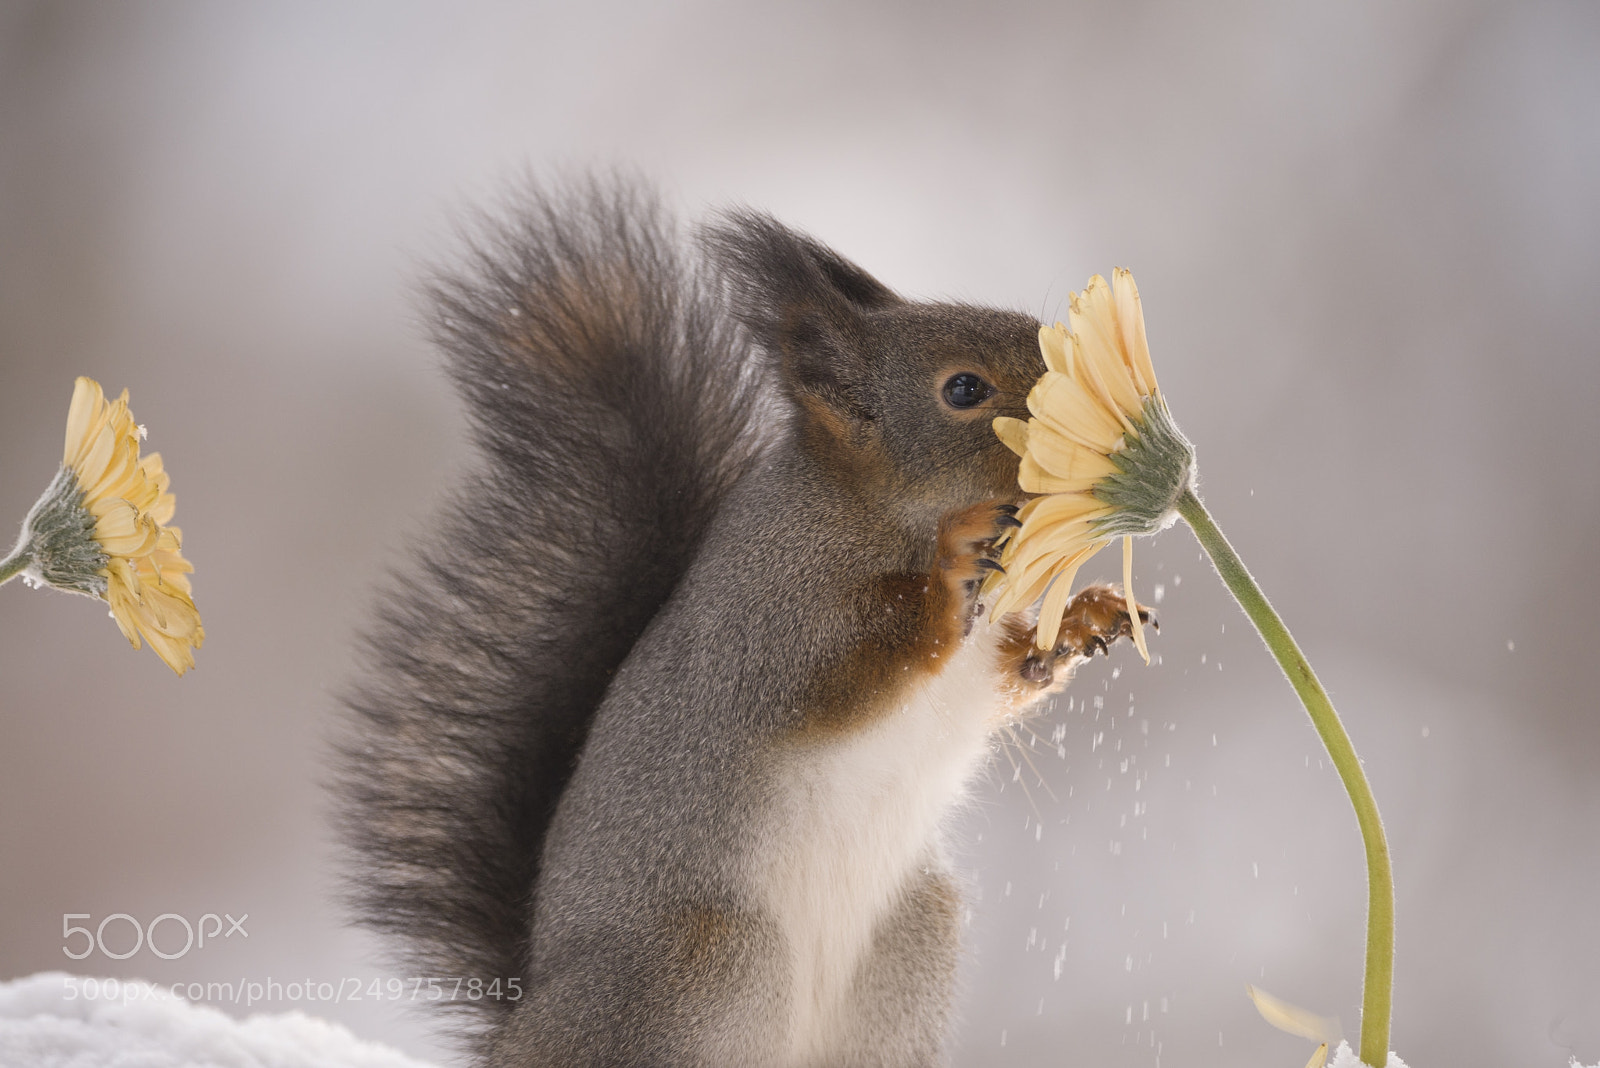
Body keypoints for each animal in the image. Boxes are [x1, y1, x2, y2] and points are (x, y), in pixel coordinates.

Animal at [337, 179, 1151, 1067]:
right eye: (963, 390)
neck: (873, 515)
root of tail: (520, 1030)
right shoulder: (764, 626)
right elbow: (833, 681)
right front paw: (953, 559)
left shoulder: (970, 669)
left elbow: (1010, 676)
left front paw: (1084, 618)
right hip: (703, 965)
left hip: (911, 943)